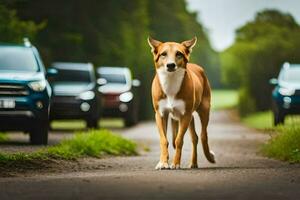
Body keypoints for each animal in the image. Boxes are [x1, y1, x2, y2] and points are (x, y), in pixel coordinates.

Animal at [148, 36, 216, 169]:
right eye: (163, 54)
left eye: (178, 54)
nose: (170, 65)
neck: (170, 82)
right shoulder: (160, 114)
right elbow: (164, 140)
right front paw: (163, 162)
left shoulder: (185, 115)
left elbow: (179, 140)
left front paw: (175, 163)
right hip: (188, 117)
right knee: (194, 137)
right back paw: (193, 162)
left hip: (204, 109)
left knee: (203, 135)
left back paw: (206, 157)